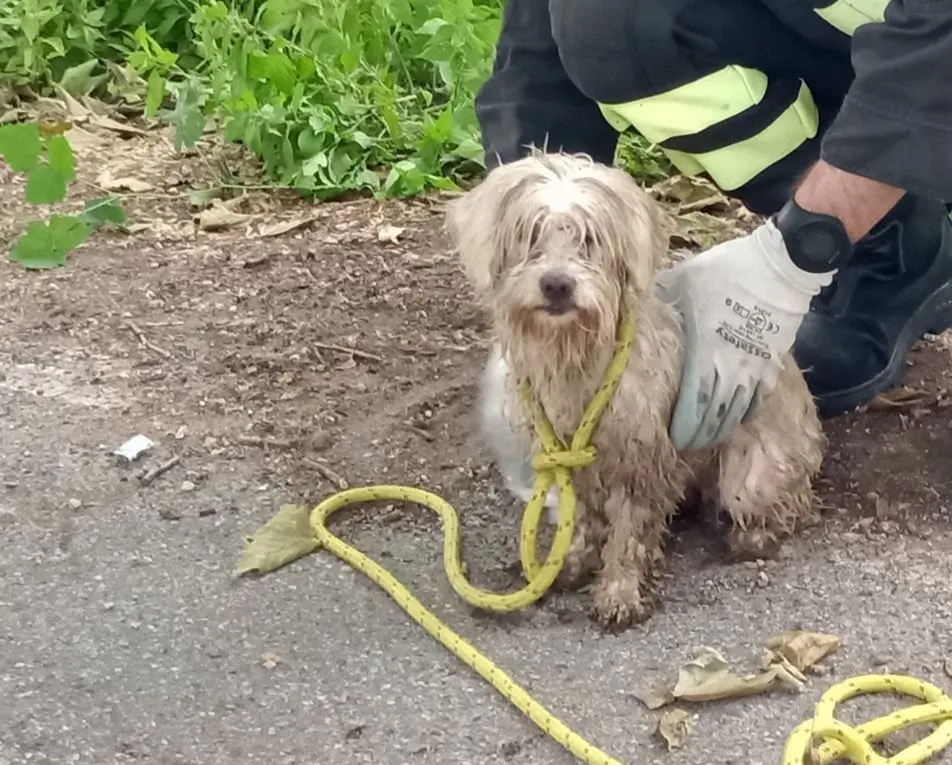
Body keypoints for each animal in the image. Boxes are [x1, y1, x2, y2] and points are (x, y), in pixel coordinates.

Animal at [446, 149, 824, 628]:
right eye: (529, 235)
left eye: (590, 239)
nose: (557, 283)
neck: (579, 355)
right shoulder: (570, 458)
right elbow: (582, 519)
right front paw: (573, 561)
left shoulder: (639, 462)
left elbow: (627, 534)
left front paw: (619, 592)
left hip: (752, 475)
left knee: (786, 504)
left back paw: (753, 537)